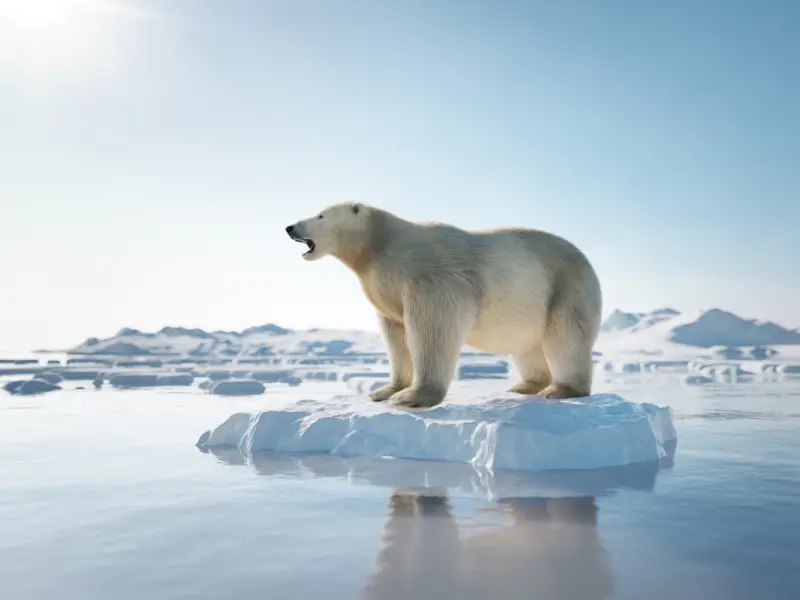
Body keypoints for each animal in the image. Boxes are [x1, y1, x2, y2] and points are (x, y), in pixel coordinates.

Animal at [284, 202, 604, 408]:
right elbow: (395, 335)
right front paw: (385, 390)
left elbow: (433, 328)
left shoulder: (433, 277)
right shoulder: (387, 289)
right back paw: (525, 385)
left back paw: (561, 389)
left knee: (565, 338)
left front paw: (412, 397)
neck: (383, 246)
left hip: (565, 289)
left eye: (320, 214)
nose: (290, 227)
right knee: (527, 346)